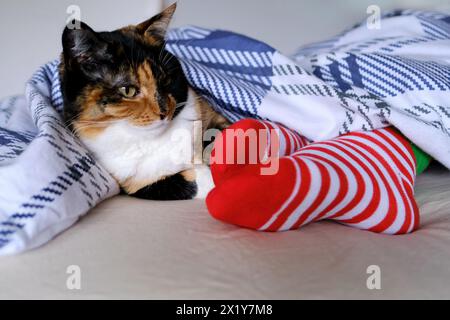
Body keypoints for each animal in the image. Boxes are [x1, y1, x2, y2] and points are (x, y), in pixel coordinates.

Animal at [59, 3, 229, 200]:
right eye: (128, 90)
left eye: (165, 79)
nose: (164, 111)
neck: (151, 141)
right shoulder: (137, 183)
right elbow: (187, 184)